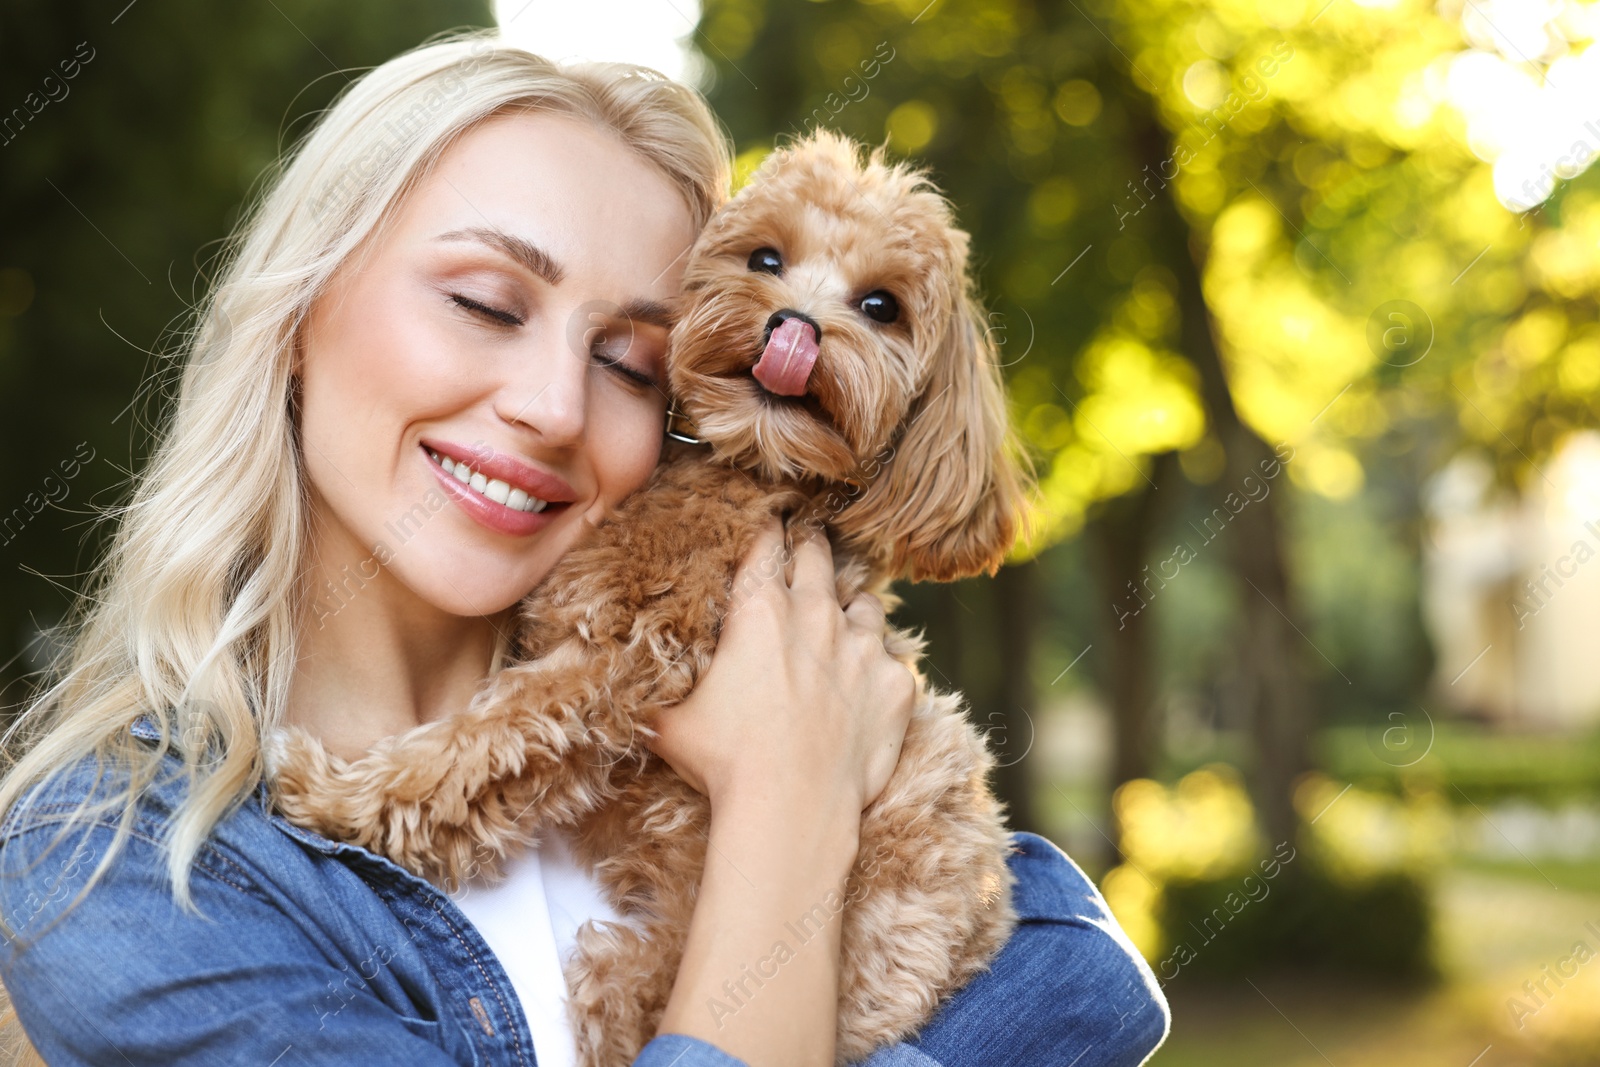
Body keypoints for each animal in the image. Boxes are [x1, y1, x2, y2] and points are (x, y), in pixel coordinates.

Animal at [270, 129, 1030, 1062]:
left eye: (882, 305)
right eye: (766, 259)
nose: (796, 327)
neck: (749, 470)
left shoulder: (625, 656)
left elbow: (479, 744)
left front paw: (332, 793)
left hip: (643, 969)